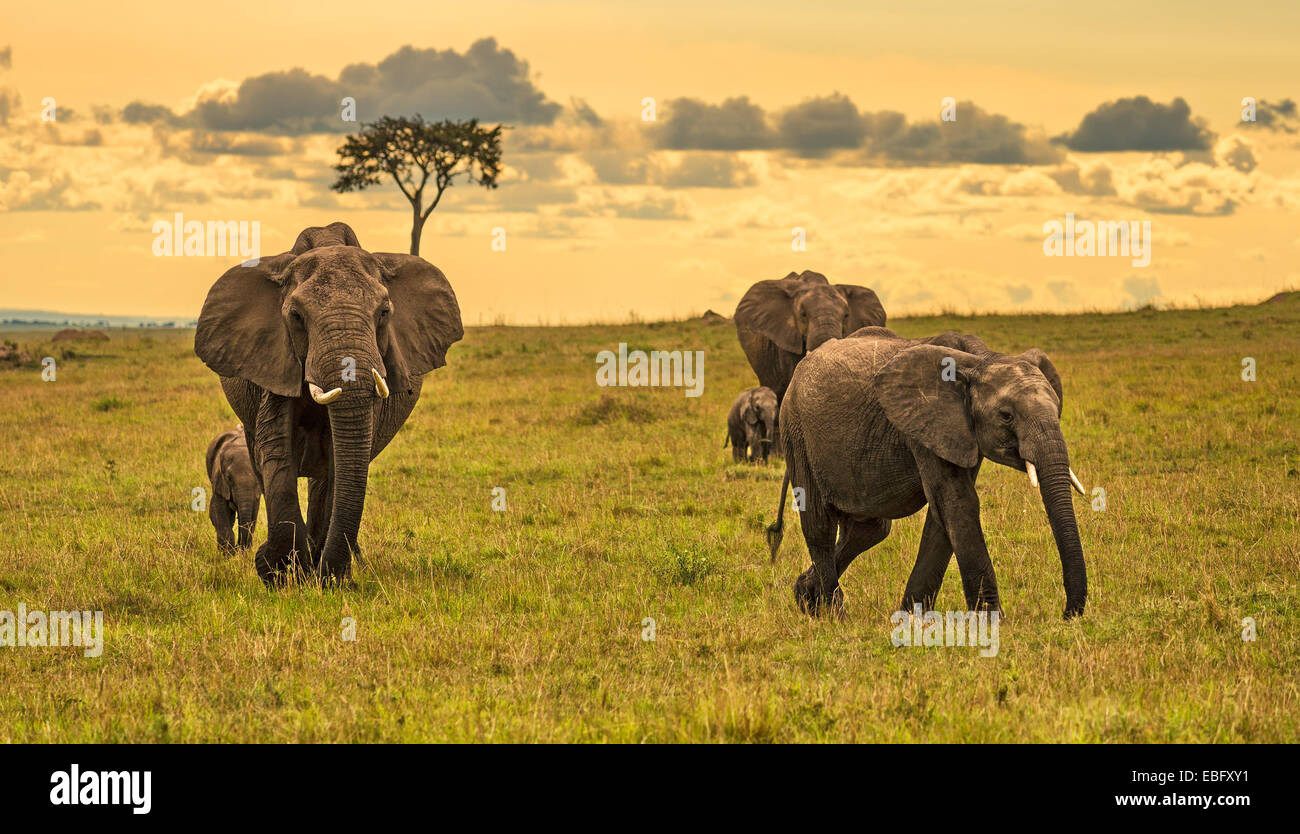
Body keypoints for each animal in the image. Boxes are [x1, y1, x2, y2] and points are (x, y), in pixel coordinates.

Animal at [189, 220, 460, 584]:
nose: (333, 576)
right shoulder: (275, 358)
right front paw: (281, 575)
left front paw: (325, 578)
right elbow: (277, 448)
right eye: (296, 316)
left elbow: (341, 461)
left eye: (384, 312)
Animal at [764, 324, 1092, 618]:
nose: (1067, 614)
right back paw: (833, 614)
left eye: (1057, 409)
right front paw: (990, 620)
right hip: (797, 431)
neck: (982, 360)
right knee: (819, 523)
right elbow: (958, 503)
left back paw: (806, 598)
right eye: (1006, 416)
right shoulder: (925, 422)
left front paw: (913, 616)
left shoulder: (958, 431)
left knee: (869, 530)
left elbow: (943, 513)